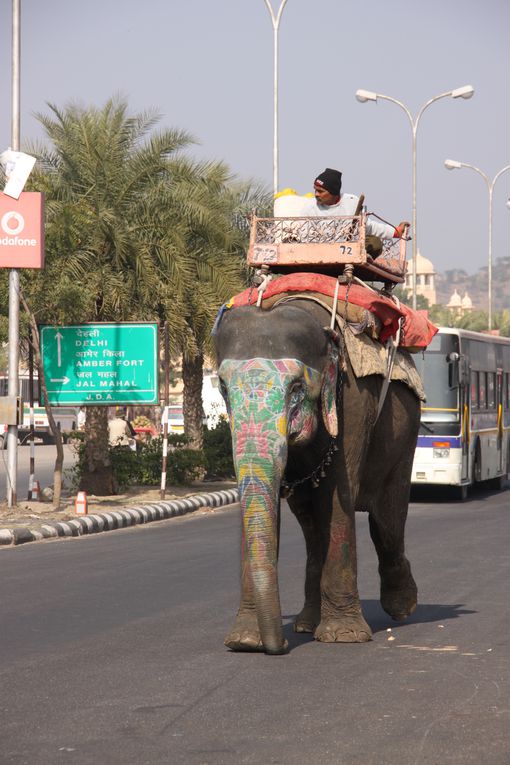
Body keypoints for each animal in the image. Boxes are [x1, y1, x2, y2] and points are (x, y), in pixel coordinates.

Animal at [213, 298, 420, 656]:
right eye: (223, 388)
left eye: (297, 387)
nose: (279, 646)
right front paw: (244, 641)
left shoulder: (352, 401)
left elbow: (338, 496)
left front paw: (344, 636)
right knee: (312, 526)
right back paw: (308, 624)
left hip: (407, 433)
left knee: (387, 520)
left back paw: (402, 607)